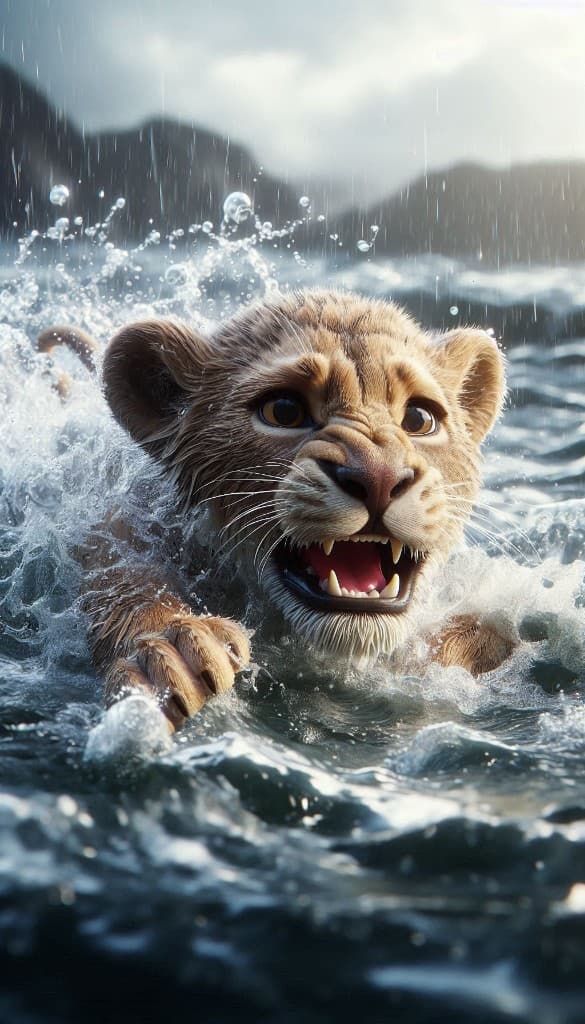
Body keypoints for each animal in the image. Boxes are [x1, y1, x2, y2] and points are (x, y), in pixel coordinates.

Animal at [40, 289, 514, 730]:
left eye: (419, 419)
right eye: (284, 410)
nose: (379, 477)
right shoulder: (120, 531)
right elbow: (126, 582)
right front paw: (173, 652)